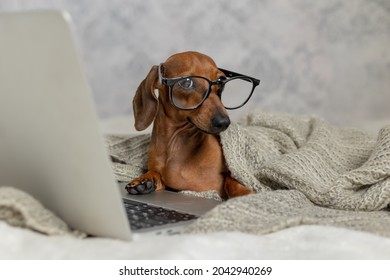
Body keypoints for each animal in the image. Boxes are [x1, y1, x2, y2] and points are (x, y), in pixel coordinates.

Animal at [125, 50, 258, 199]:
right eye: (187, 83)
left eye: (221, 82)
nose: (224, 122)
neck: (176, 146)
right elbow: (156, 174)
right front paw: (145, 179)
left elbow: (231, 180)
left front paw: (246, 193)